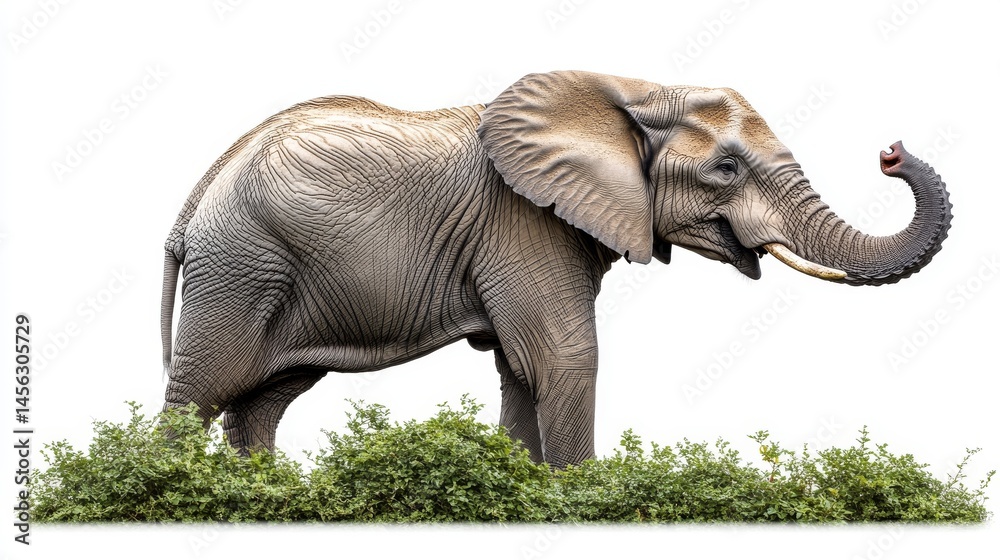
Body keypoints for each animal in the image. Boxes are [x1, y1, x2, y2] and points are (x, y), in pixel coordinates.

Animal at [160, 70, 952, 469]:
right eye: (726, 169)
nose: (891, 151)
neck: (628, 92)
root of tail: (196, 198)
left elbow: (523, 371)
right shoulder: (523, 223)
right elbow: (565, 358)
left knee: (263, 397)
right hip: (242, 264)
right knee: (204, 387)